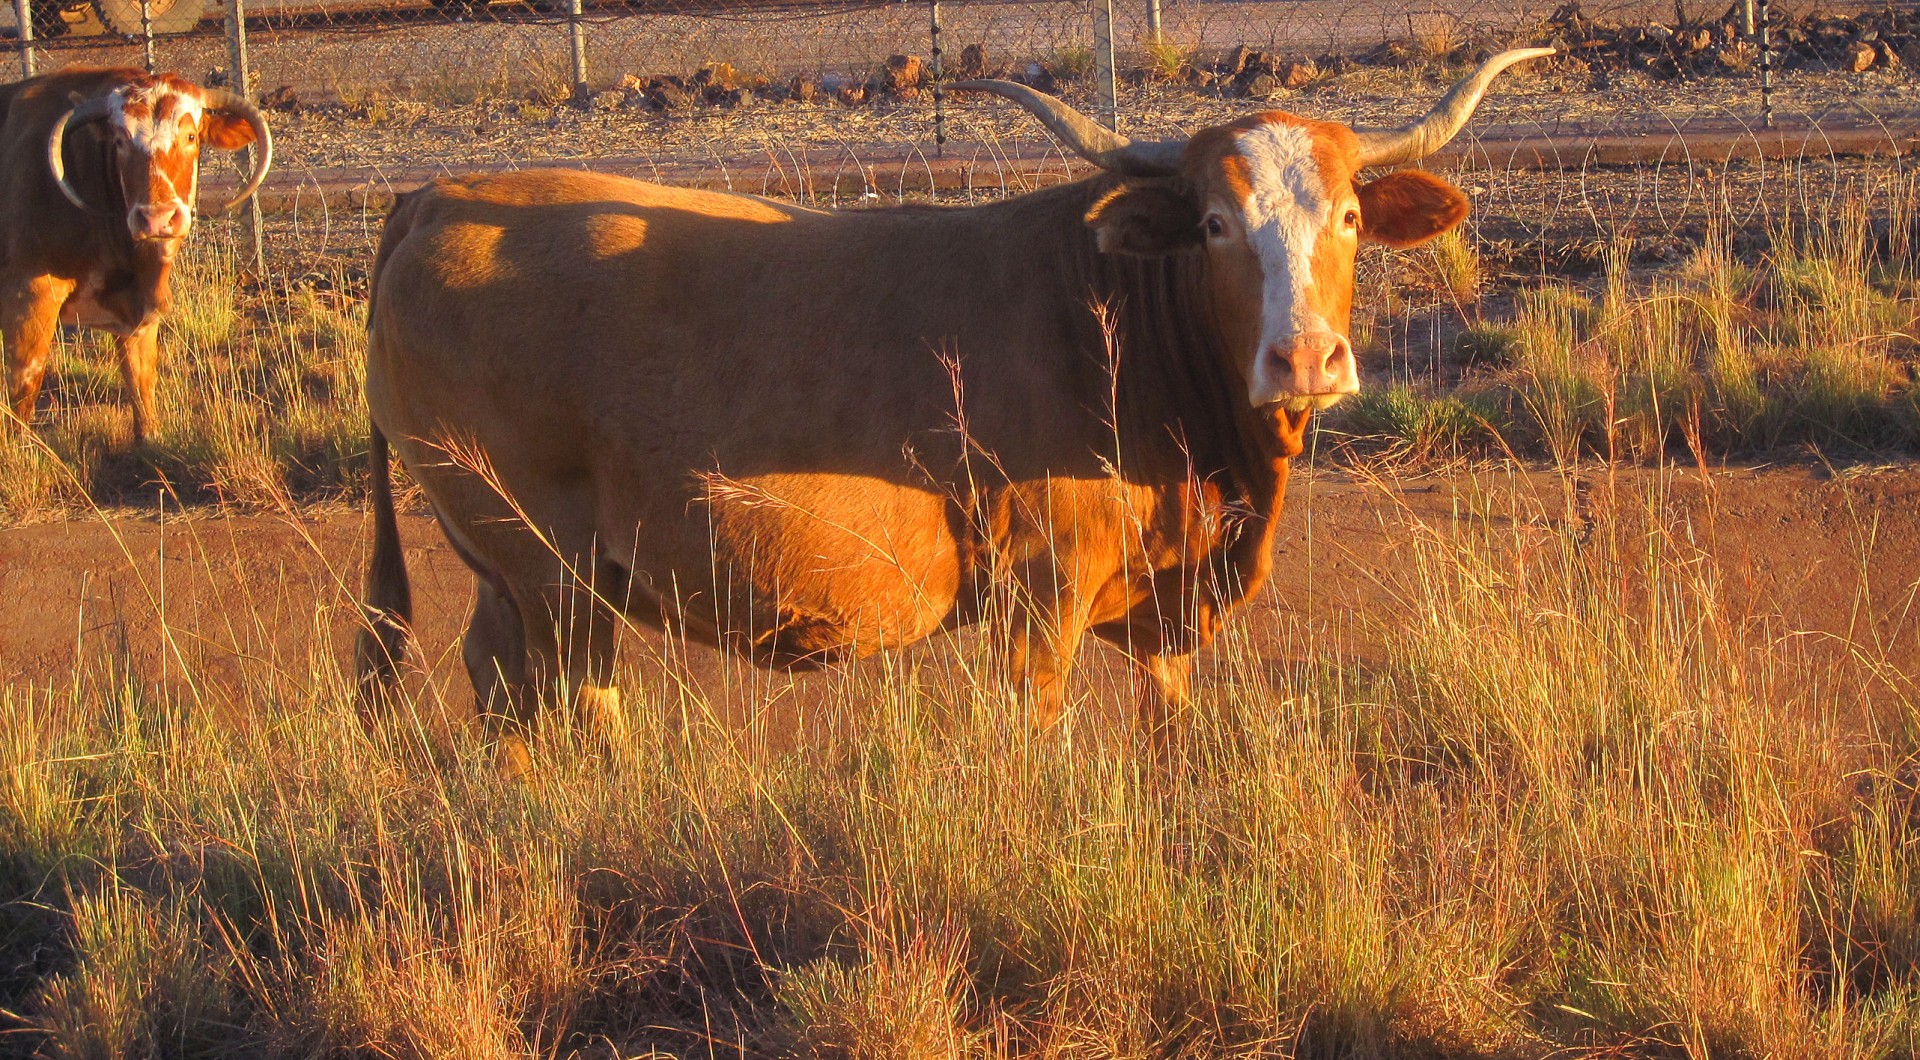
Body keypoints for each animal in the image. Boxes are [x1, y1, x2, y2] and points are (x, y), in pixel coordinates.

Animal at [1, 66, 270, 441]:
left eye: (190, 136)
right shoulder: (28, 297)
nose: (156, 217)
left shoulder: (138, 316)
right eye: (120, 141)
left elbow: (141, 383)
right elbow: (24, 389)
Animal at [360, 49, 1551, 756]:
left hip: (518, 571)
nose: (1305, 358)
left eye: (1348, 214)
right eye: (1215, 223)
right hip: (551, 566)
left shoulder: (1161, 606)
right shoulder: (1039, 595)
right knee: (564, 699)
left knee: (496, 677)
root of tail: (443, 196)